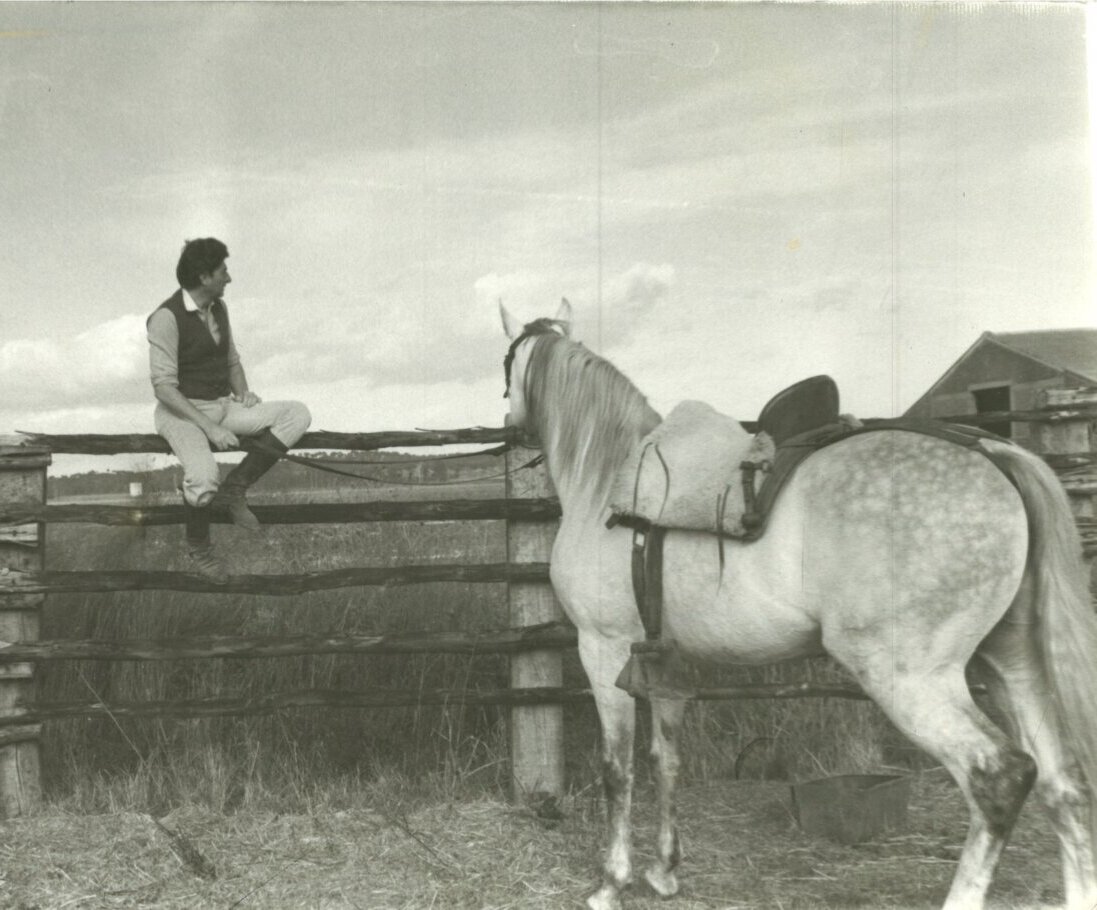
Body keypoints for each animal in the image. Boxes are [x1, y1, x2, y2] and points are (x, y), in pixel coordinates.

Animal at [499, 299, 1097, 910]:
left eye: (507, 363)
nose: (510, 425)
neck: (607, 485)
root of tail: (994, 453)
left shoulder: (603, 648)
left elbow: (616, 769)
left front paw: (611, 882)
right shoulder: (665, 660)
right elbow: (665, 761)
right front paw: (664, 872)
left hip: (911, 678)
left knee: (998, 777)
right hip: (1014, 664)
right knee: (1063, 781)